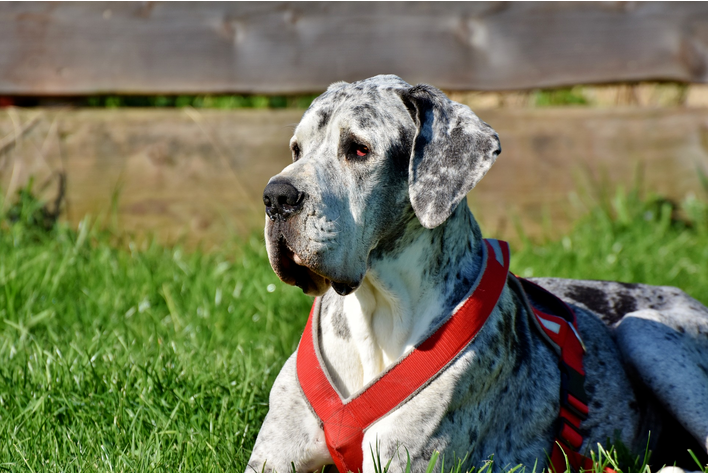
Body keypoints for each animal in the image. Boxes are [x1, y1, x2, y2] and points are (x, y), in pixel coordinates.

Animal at [246, 76, 704, 474]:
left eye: (358, 149)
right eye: (296, 149)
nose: (275, 197)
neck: (376, 311)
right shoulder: (271, 460)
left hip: (645, 330)